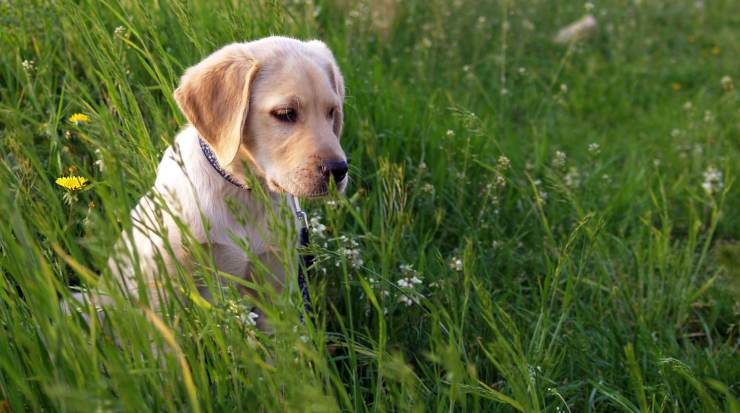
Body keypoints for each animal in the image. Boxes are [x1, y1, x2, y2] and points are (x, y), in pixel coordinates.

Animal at [99, 37, 348, 318]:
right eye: (286, 113)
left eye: (332, 112)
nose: (339, 170)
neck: (245, 192)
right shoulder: (163, 284)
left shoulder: (277, 289)